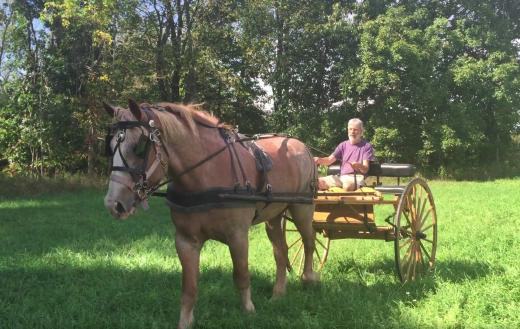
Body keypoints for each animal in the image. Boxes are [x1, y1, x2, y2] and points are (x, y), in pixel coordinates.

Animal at [103, 99, 318, 328]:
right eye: (110, 146)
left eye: (140, 147)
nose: (113, 204)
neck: (206, 174)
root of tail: (302, 147)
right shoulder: (186, 240)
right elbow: (189, 288)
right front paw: (185, 321)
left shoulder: (238, 236)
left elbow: (241, 275)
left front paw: (249, 311)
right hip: (274, 216)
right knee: (281, 250)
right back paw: (278, 293)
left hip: (302, 208)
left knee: (309, 240)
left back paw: (309, 278)